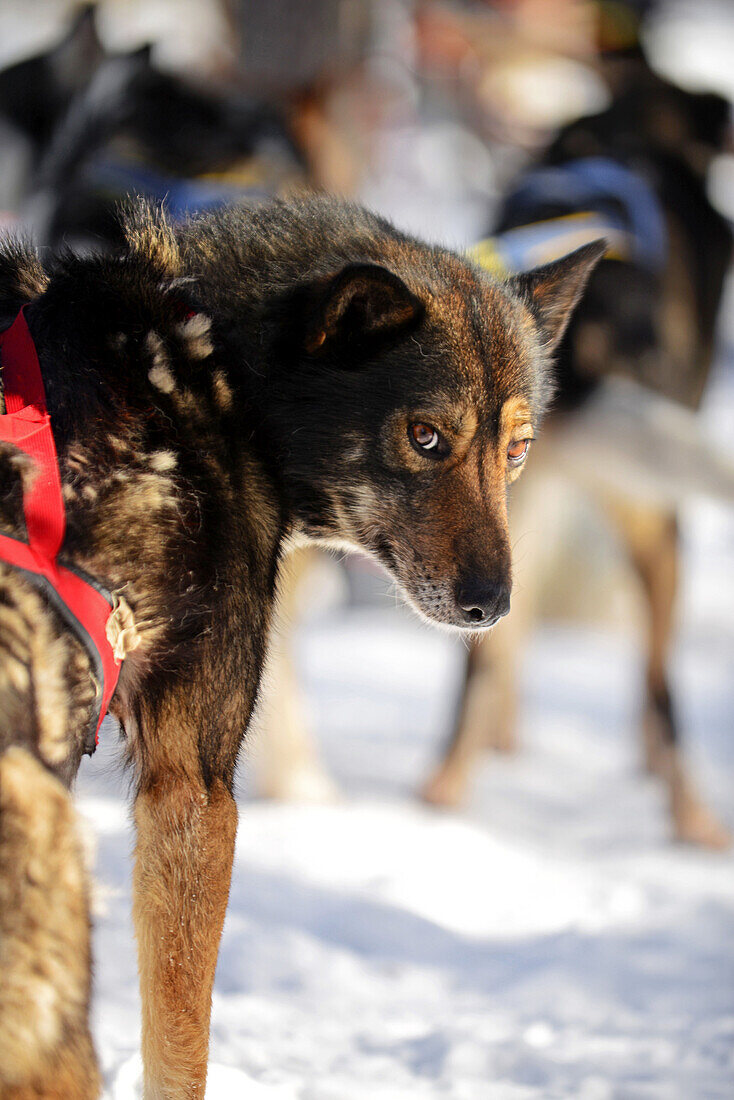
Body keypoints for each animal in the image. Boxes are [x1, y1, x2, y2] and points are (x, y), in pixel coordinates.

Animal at [0, 200, 598, 1100]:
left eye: (516, 449)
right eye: (425, 437)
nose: (490, 606)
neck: (225, 364)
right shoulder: (194, 791)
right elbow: (179, 1054)